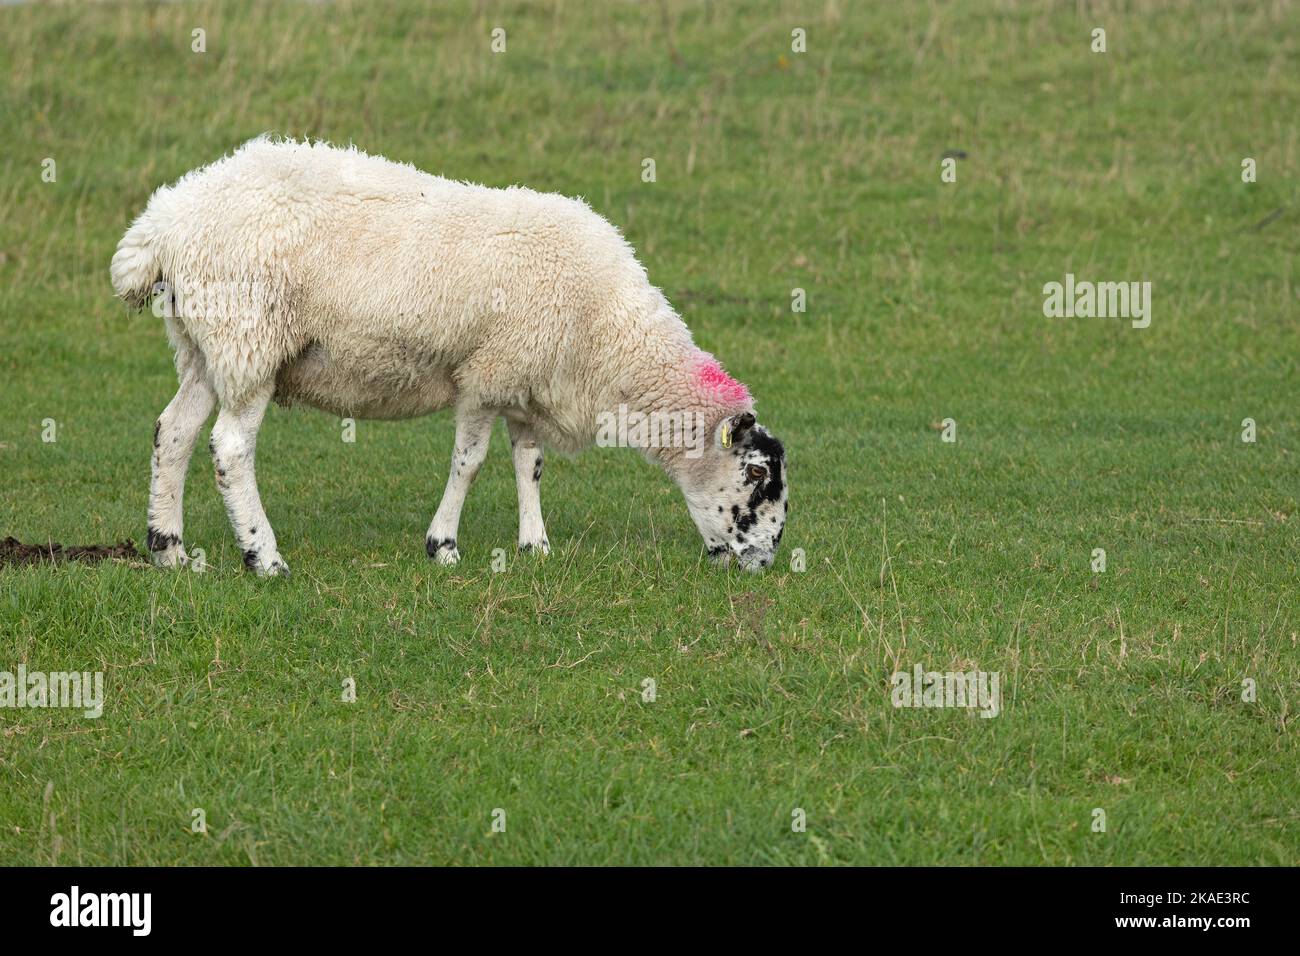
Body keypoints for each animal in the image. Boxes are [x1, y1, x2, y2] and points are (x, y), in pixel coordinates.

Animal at [111, 136, 785, 574]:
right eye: (756, 481)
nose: (764, 561)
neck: (608, 334)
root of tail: (164, 223)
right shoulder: (487, 375)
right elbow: (470, 463)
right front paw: (444, 548)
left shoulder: (524, 380)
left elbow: (529, 464)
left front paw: (535, 546)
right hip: (249, 338)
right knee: (230, 449)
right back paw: (263, 557)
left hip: (204, 347)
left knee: (173, 432)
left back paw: (169, 549)